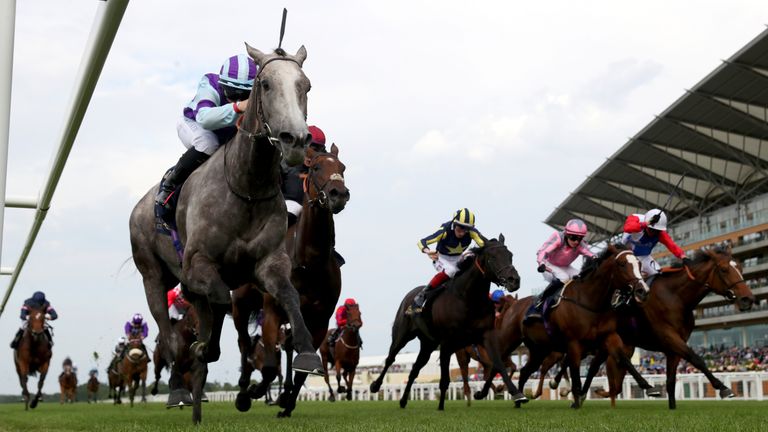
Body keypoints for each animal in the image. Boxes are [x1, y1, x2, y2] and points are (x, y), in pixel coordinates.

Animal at [130, 45, 322, 424]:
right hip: (153, 278)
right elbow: (217, 301)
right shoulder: (198, 264)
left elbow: (289, 295)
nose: (295, 140)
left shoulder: (268, 264)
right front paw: (205, 348)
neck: (246, 186)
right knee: (166, 334)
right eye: (265, 84)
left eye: (305, 85)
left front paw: (307, 353)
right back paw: (178, 390)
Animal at [232, 143, 350, 418]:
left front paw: (286, 403)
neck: (309, 262)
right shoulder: (272, 310)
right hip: (240, 304)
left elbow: (302, 369)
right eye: (316, 167)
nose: (339, 194)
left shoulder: (319, 319)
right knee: (244, 343)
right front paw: (256, 391)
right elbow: (268, 367)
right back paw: (243, 392)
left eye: (342, 168)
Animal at [368, 238, 524, 410]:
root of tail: (410, 295)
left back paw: (403, 401)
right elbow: (444, 379)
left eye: (510, 255)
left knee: (415, 369)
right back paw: (375, 386)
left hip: (428, 345)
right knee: (390, 358)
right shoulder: (447, 343)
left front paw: (516, 394)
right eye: (492, 257)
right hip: (402, 335)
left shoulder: (486, 337)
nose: (514, 280)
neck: (468, 300)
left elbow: (498, 364)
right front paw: (441, 407)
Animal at [584, 246, 756, 408]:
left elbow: (671, 382)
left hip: (620, 345)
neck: (676, 297)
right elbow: (696, 359)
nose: (748, 299)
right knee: (602, 367)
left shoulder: (674, 348)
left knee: (604, 369)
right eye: (724, 269)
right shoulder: (669, 337)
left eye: (740, 268)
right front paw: (723, 388)